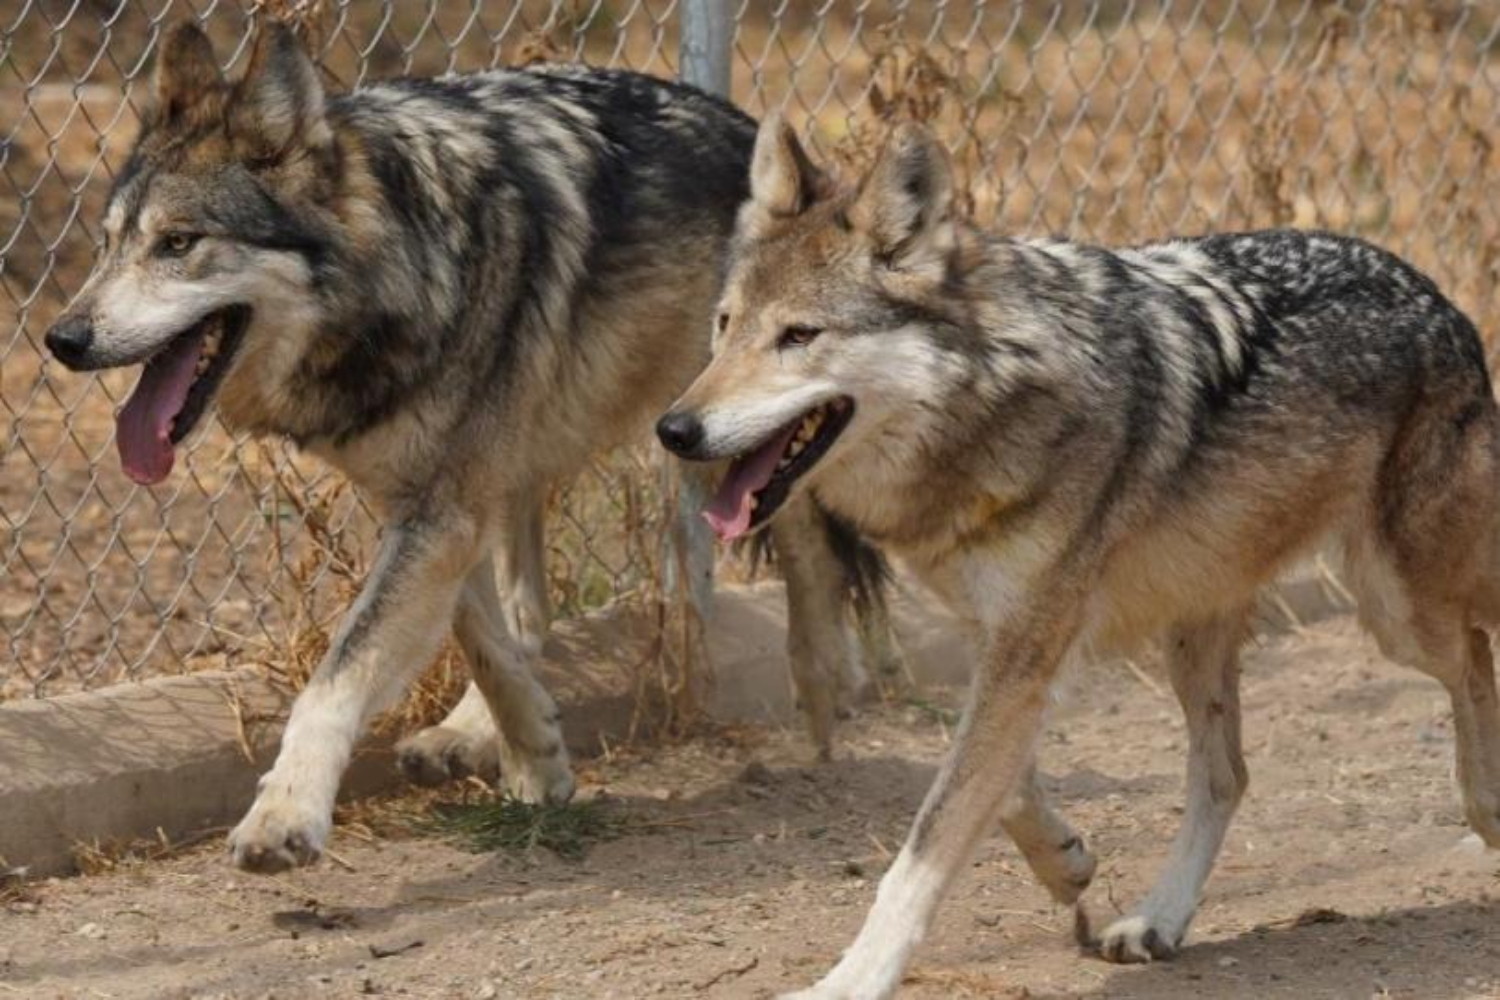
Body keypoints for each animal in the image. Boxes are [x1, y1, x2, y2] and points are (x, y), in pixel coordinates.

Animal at [42, 22, 885, 873]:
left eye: (178, 243)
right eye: (106, 245)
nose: (62, 340)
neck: (401, 265)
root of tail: (747, 128)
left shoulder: (444, 509)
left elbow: (338, 674)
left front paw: (285, 814)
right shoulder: (428, 502)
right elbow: (481, 635)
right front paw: (534, 753)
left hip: (710, 435)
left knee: (810, 547)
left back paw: (826, 691)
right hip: (534, 462)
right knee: (529, 606)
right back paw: (469, 733)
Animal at [658, 116, 1500, 998]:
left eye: (799, 336)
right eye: (724, 325)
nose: (675, 430)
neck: (992, 393)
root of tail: (1439, 296)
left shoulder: (1028, 645)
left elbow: (926, 843)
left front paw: (853, 979)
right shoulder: (1004, 644)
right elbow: (997, 787)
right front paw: (1065, 862)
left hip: (1397, 612)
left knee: (1474, 654)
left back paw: (1485, 808)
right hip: (1196, 633)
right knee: (1228, 774)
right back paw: (1160, 919)